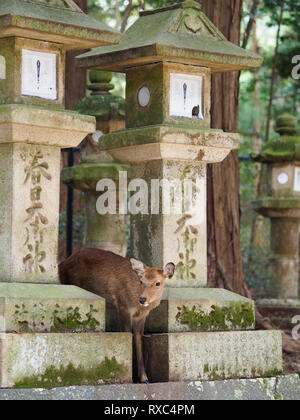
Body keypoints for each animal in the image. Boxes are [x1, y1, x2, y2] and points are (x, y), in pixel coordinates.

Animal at [59, 249, 175, 384]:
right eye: (141, 281)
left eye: (157, 283)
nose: (142, 299)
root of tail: (62, 263)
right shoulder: (123, 306)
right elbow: (127, 335)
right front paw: (132, 377)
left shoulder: (141, 316)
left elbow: (138, 340)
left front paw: (144, 378)